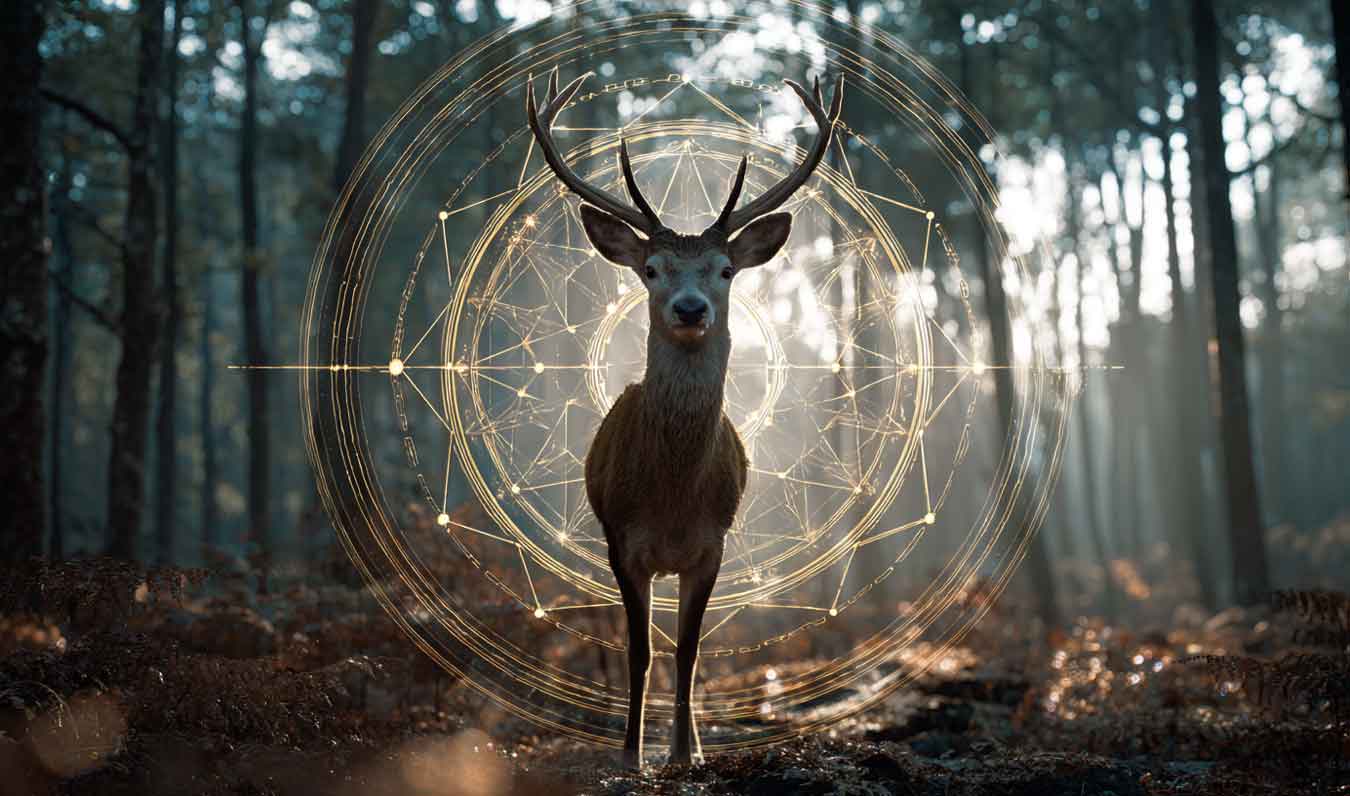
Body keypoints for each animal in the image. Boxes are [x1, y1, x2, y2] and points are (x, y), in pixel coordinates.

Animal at [525, 69, 843, 767]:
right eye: (650, 269)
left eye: (725, 269)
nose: (691, 308)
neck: (671, 495)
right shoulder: (623, 542)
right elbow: (640, 652)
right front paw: (630, 756)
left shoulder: (711, 546)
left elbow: (690, 652)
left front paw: (683, 755)